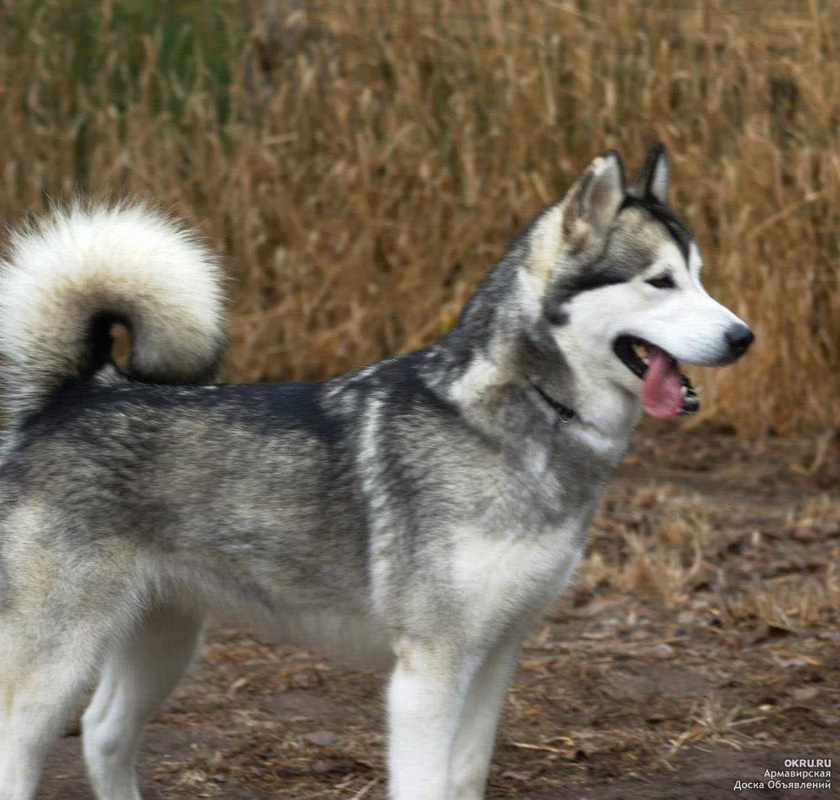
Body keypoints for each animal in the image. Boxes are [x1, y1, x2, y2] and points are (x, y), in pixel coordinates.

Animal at [0, 145, 752, 800]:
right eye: (660, 281)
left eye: (701, 275)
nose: (743, 337)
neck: (523, 416)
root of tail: (79, 392)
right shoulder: (428, 673)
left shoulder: (496, 656)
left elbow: (464, 778)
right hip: (56, 663)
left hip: (163, 641)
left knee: (102, 733)